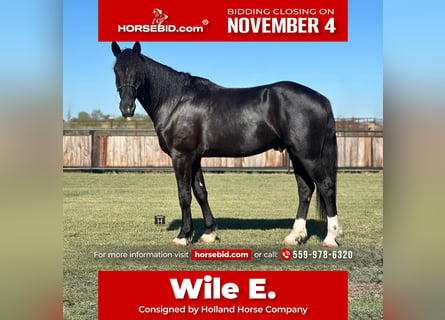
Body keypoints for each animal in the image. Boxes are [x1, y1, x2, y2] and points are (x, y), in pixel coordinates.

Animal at [112, 42, 342, 248]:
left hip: (308, 155)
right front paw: (208, 234)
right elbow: (201, 192)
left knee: (326, 186)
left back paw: (331, 237)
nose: (126, 108)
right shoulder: (195, 157)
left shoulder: (181, 156)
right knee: (305, 190)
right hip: (296, 155)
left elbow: (184, 195)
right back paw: (294, 236)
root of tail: (321, 99)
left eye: (137, 71)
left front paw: (183, 236)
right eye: (116, 69)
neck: (176, 101)